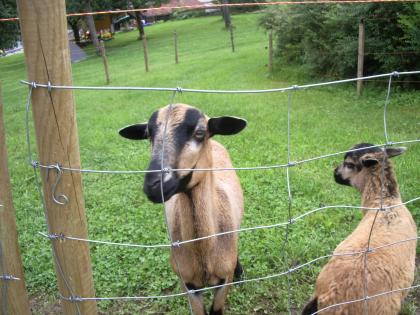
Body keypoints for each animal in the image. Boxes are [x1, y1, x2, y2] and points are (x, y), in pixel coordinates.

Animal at [119, 104, 246, 315]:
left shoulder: (223, 283)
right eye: (148, 134)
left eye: (200, 133)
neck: (204, 252)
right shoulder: (188, 285)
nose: (154, 185)